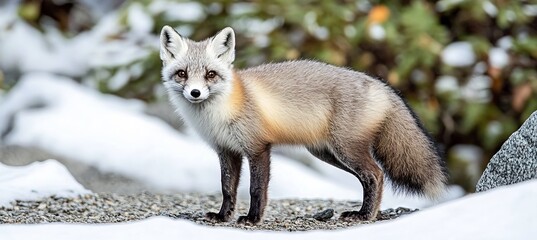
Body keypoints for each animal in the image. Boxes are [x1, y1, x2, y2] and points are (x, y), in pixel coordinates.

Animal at [158, 25, 448, 224]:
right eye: (182, 74)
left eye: (210, 74)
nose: (195, 93)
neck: (219, 113)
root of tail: (382, 85)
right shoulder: (226, 151)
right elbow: (227, 189)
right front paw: (222, 217)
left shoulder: (258, 147)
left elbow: (255, 189)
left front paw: (252, 219)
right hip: (327, 154)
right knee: (370, 178)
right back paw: (364, 212)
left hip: (345, 149)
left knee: (375, 174)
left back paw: (365, 216)